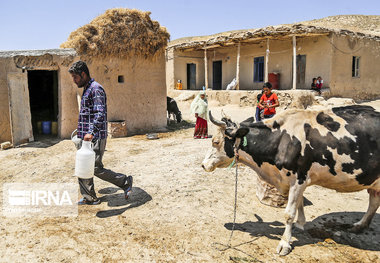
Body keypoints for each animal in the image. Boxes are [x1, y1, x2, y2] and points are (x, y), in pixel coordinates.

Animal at [202, 105, 380, 256]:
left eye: (215, 141)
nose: (203, 165)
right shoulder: (293, 181)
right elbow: (299, 204)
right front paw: (300, 224)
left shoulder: (299, 178)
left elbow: (289, 213)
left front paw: (284, 243)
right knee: (373, 201)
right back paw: (359, 226)